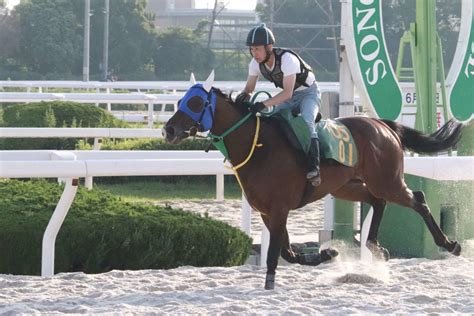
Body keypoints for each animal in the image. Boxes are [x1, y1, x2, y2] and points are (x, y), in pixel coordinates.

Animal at [162, 73, 462, 290]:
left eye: (196, 103)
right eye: (181, 101)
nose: (168, 129)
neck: (258, 145)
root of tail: (384, 126)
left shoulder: (279, 207)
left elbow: (276, 252)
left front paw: (270, 283)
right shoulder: (267, 212)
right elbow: (288, 252)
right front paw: (327, 255)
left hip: (387, 180)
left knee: (417, 200)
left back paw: (450, 244)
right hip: (346, 187)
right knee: (378, 202)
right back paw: (375, 246)